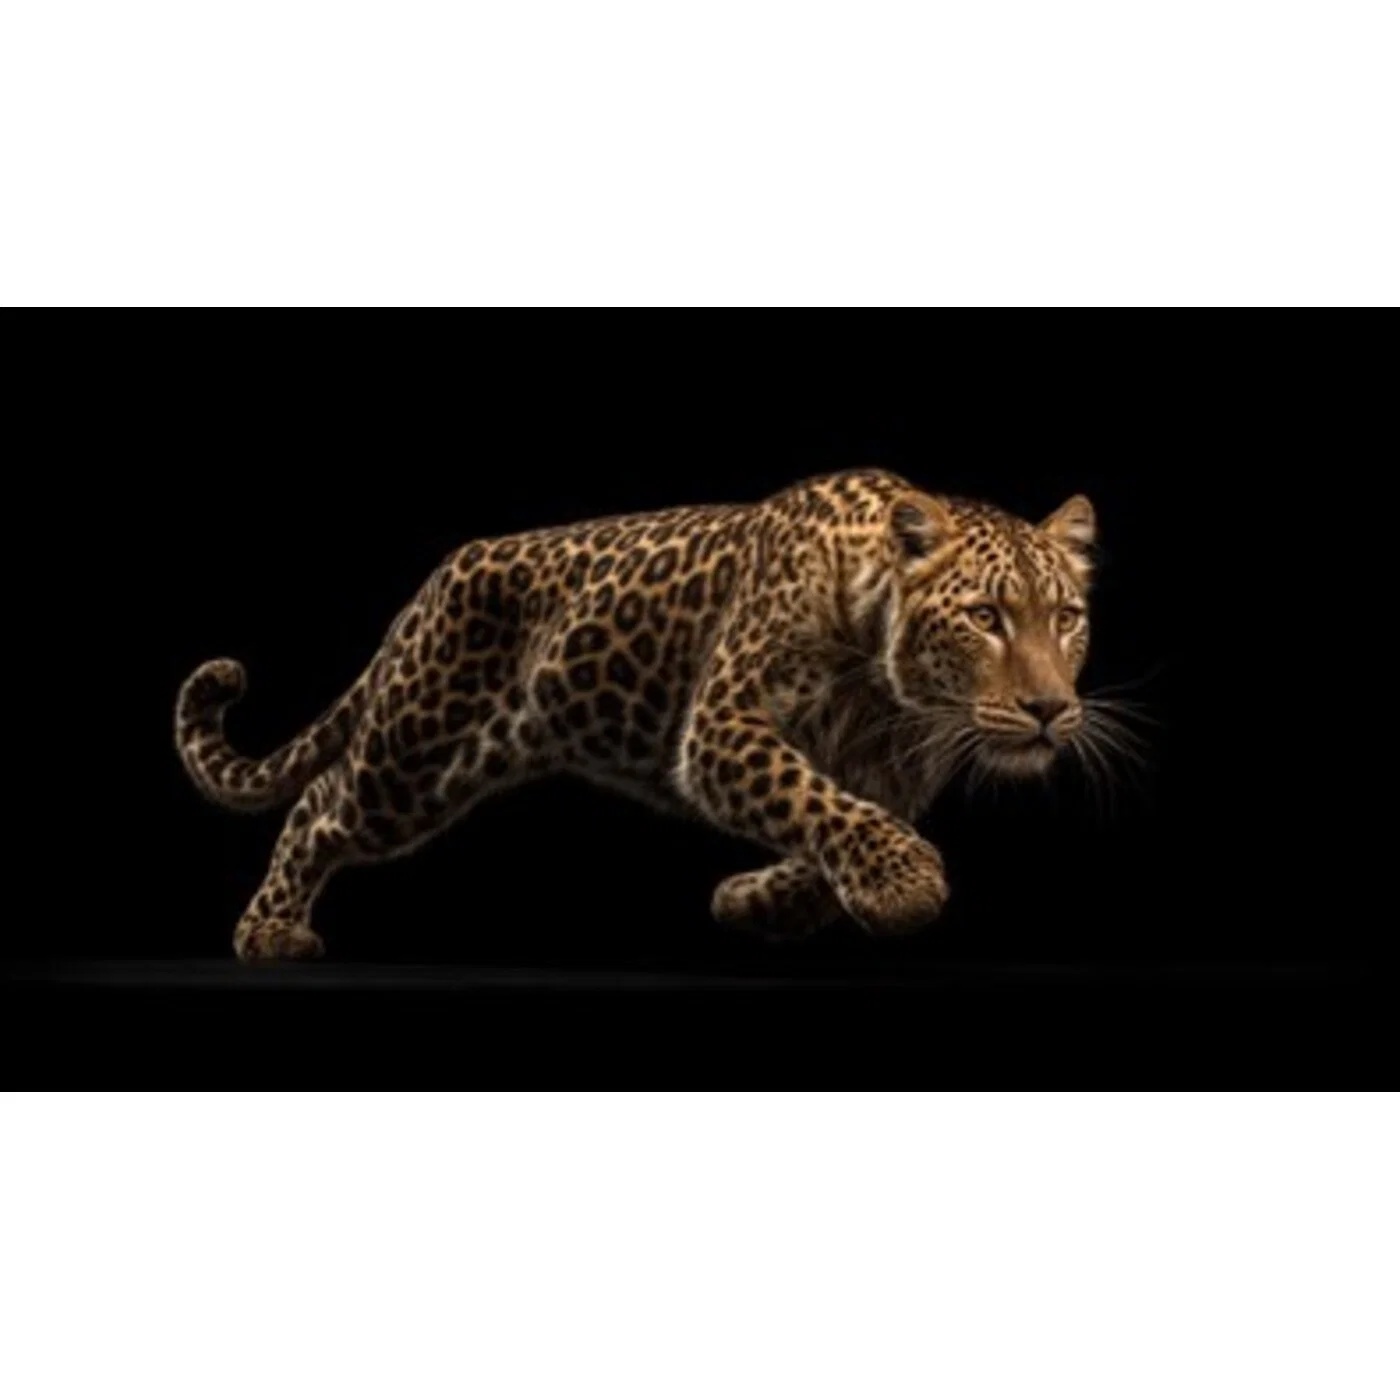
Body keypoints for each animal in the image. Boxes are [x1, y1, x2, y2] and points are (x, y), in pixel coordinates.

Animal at [175, 469, 1099, 961]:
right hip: (413, 748)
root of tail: (431, 584)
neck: (887, 691)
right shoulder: (724, 727)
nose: (1051, 709)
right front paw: (906, 884)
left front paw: (757, 900)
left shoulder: (890, 773)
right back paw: (268, 930)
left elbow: (841, 817)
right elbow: (810, 796)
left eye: (1066, 618)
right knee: (318, 805)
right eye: (986, 616)